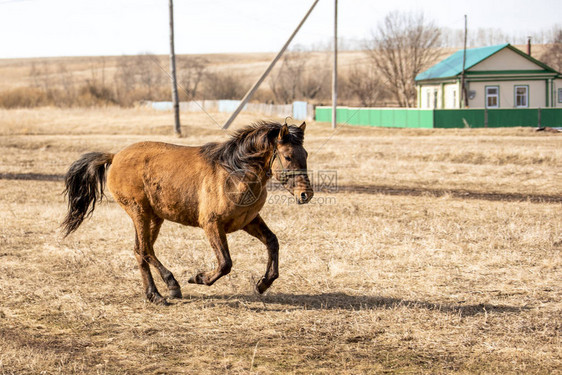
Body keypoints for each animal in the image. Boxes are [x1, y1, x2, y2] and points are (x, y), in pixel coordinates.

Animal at [64, 122, 316, 304]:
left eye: (305, 154)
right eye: (288, 156)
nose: (306, 194)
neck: (234, 173)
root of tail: (115, 156)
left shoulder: (249, 221)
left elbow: (272, 242)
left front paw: (263, 283)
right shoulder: (212, 225)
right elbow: (225, 263)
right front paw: (199, 278)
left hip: (154, 217)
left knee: (140, 251)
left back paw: (154, 294)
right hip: (140, 213)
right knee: (144, 250)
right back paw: (170, 286)